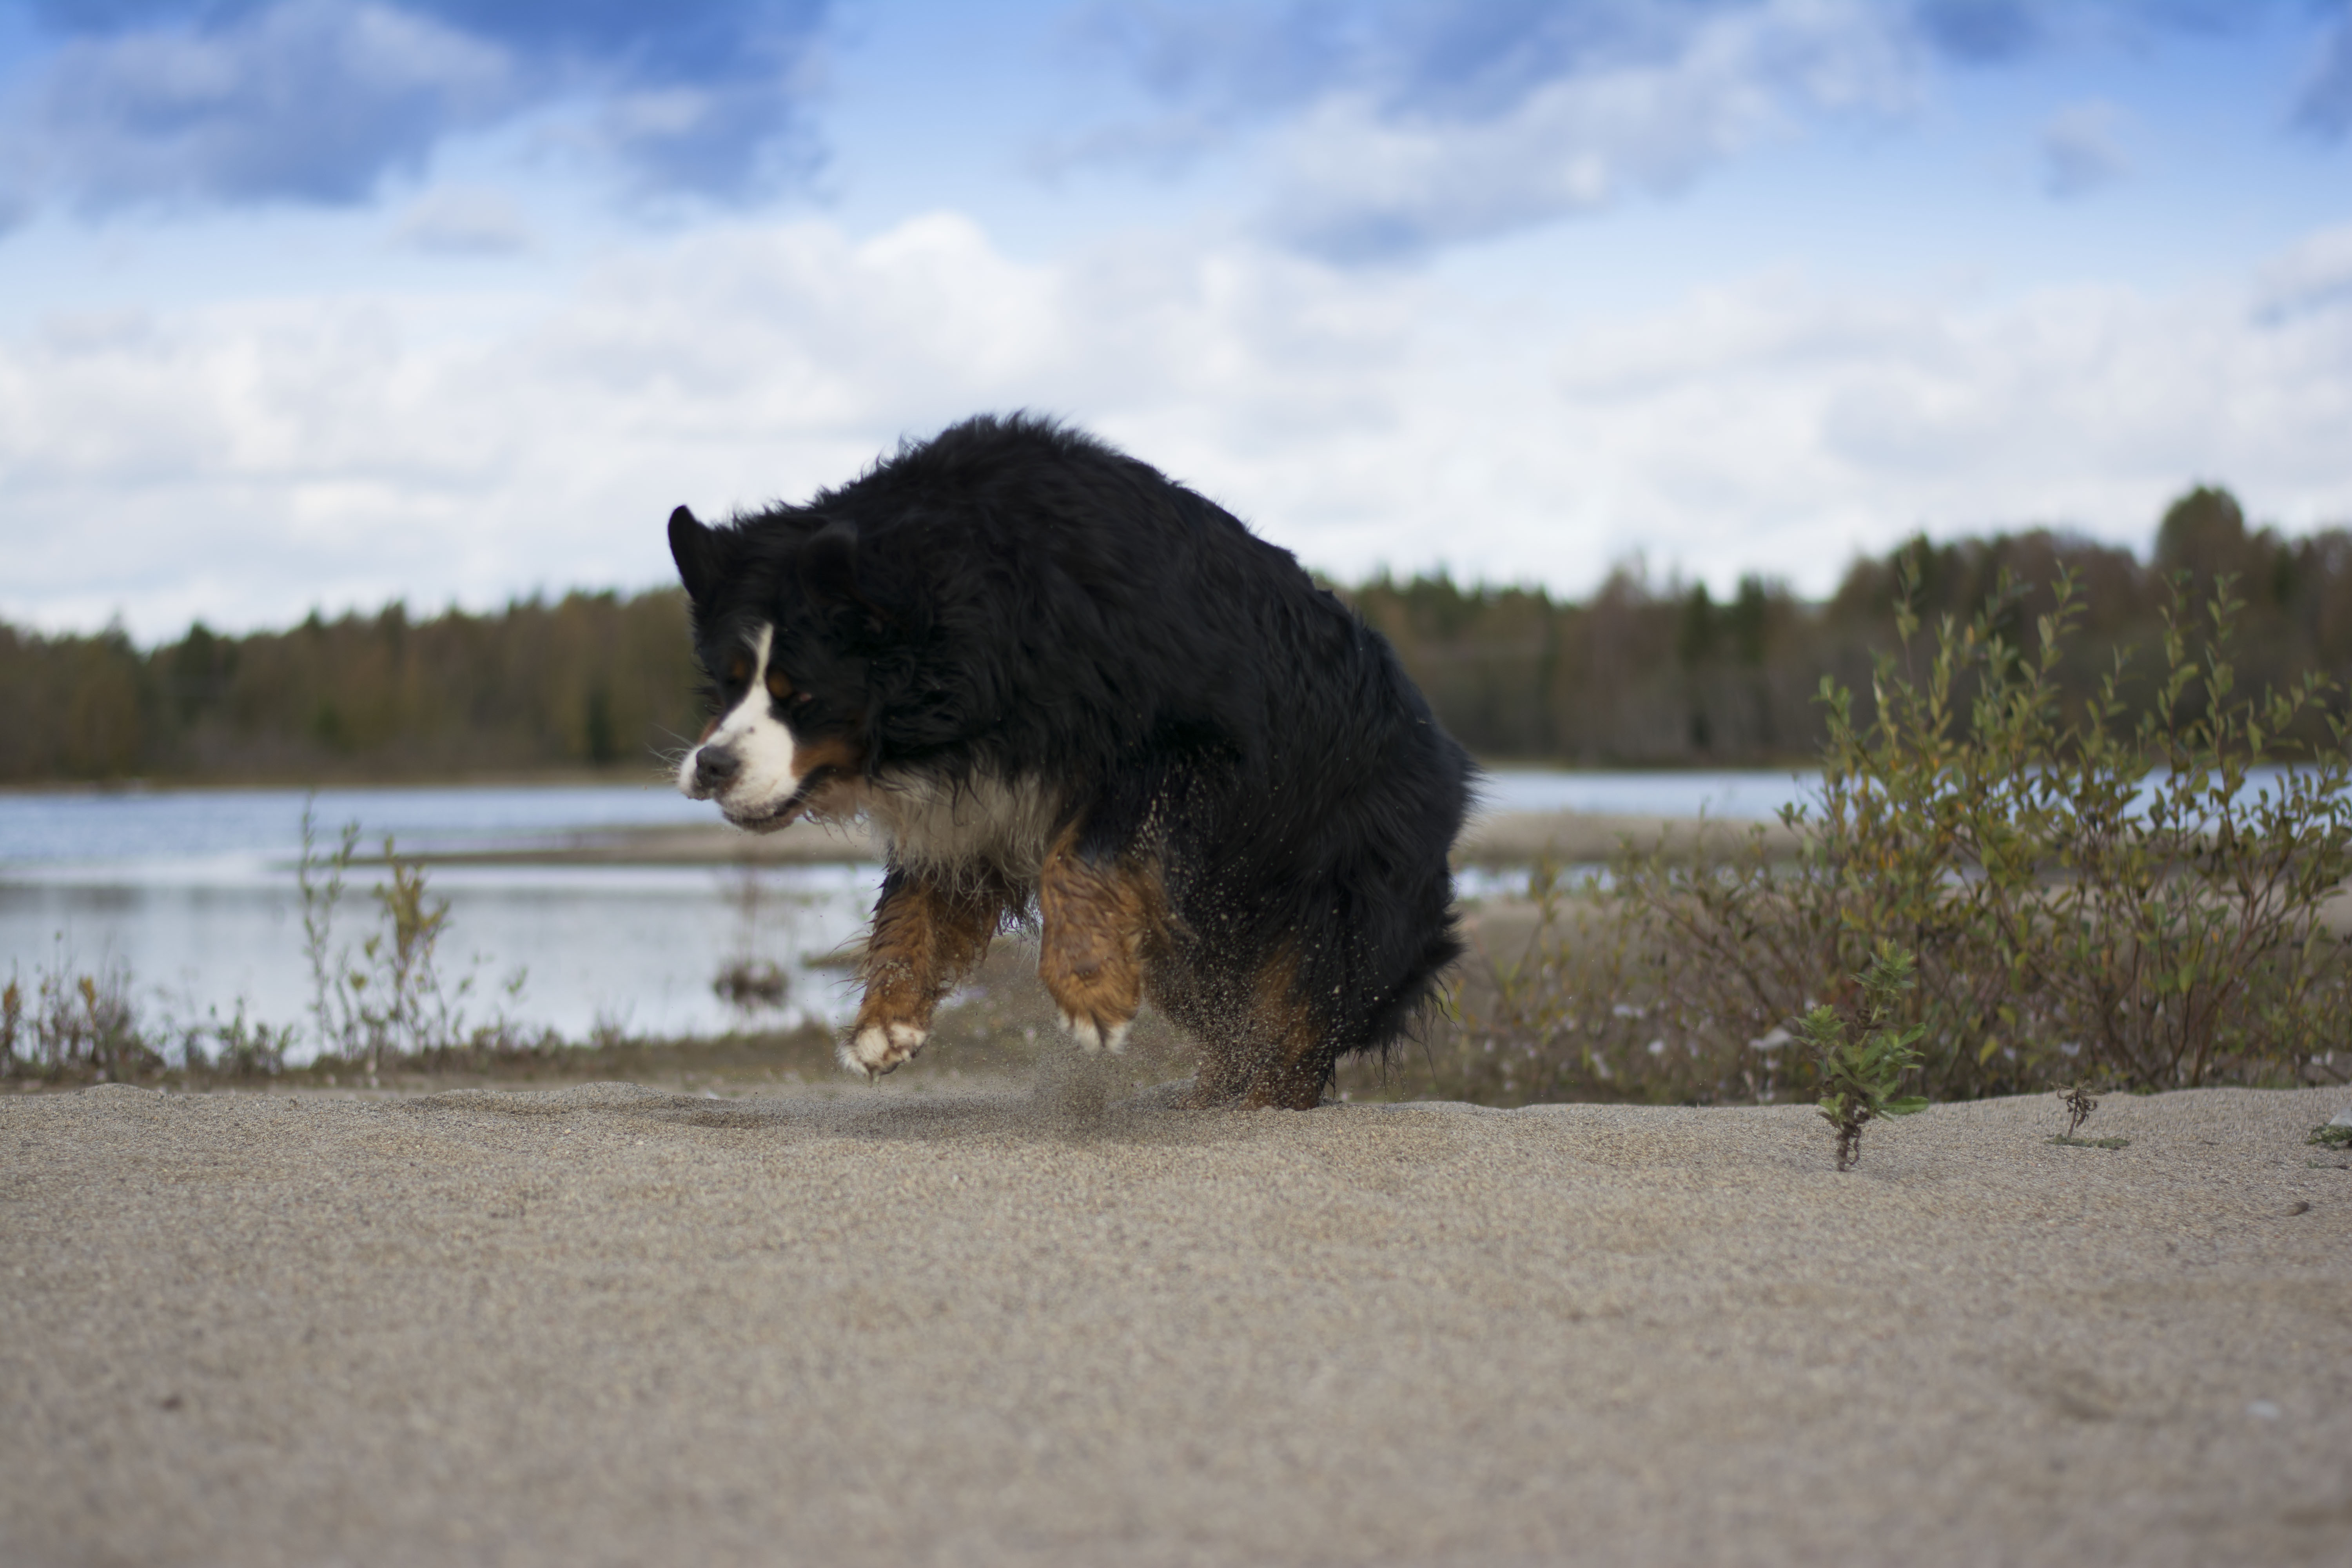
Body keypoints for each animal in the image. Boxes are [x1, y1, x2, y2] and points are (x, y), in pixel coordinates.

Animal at [667, 414, 1471, 1108]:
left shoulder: (1186, 743)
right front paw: (884, 1024)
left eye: (800, 694)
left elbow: (1080, 857)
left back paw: (1259, 1102)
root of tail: (1450, 757)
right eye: (728, 681)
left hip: (1342, 895)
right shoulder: (974, 794)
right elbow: (918, 898)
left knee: (1303, 1015)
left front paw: (1089, 995)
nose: (711, 766)